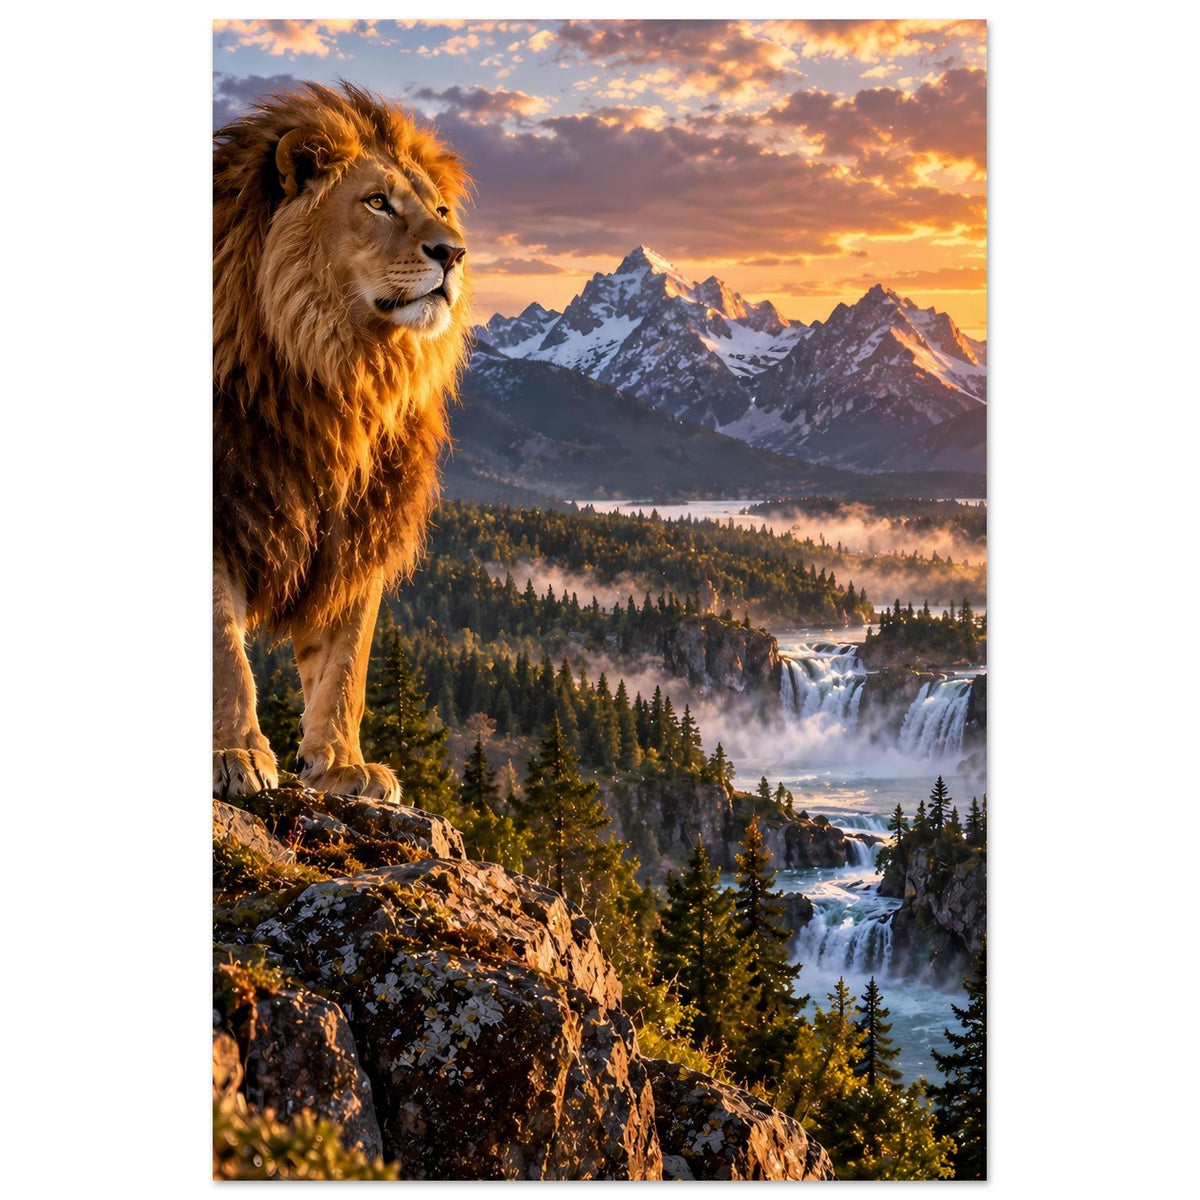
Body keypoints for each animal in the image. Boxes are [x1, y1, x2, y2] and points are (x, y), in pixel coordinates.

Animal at [213, 81, 471, 803]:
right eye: (377, 202)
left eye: (441, 210)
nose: (453, 253)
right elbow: (222, 648)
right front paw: (236, 753)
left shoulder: (358, 529)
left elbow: (346, 662)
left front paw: (341, 765)